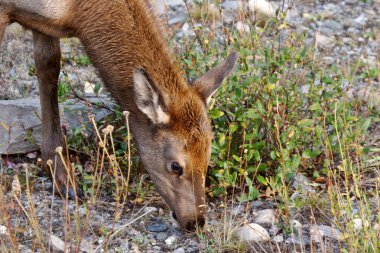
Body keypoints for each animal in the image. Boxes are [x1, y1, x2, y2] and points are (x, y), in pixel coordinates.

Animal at [0, 0, 238, 230]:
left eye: (207, 157)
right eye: (175, 166)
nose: (196, 221)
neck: (75, 12)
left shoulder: (44, 24)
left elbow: (48, 67)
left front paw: (62, 177)